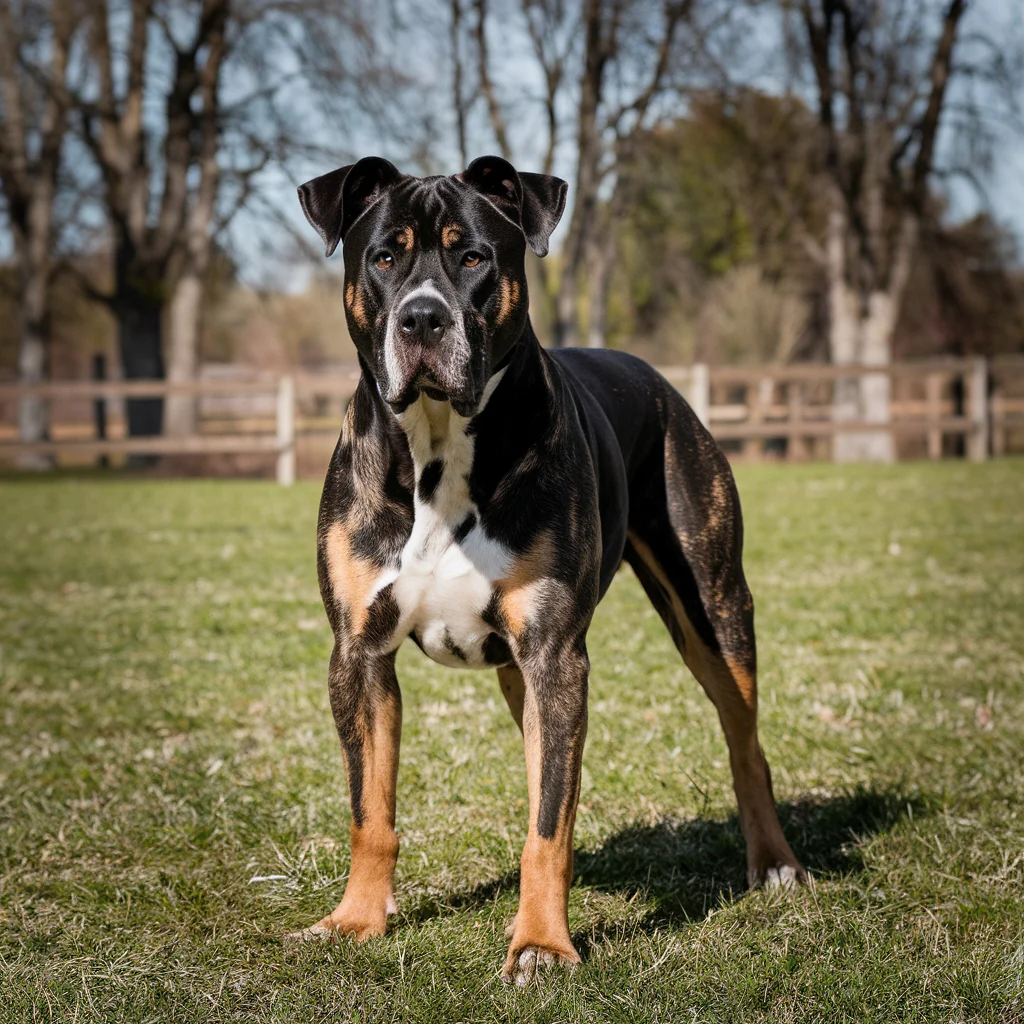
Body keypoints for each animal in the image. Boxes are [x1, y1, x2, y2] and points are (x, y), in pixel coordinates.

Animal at [292, 153, 802, 983]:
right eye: (385, 258)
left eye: (473, 258)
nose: (422, 318)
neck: (437, 447)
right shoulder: (359, 654)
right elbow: (373, 810)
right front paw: (356, 920)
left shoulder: (556, 652)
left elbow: (548, 824)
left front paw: (542, 944)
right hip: (522, 670)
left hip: (715, 611)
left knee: (743, 742)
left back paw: (776, 863)